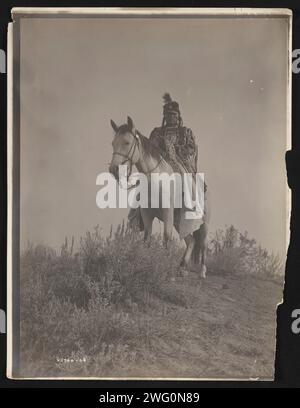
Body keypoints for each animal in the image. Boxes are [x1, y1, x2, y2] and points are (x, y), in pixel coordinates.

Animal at [109, 116, 210, 278]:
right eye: (113, 143)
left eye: (127, 142)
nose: (113, 169)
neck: (155, 180)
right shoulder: (146, 213)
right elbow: (147, 237)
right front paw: (143, 265)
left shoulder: (167, 212)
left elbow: (166, 237)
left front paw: (165, 271)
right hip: (178, 221)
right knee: (191, 241)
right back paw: (181, 268)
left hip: (203, 223)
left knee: (203, 244)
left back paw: (202, 271)